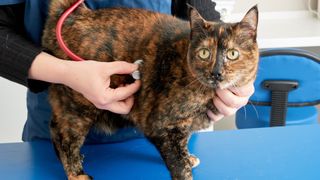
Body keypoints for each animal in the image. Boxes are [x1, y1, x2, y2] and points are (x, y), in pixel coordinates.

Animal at [42, 0, 258, 179]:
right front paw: (184, 167)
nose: (216, 73)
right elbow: (179, 167)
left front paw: (188, 157)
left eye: (232, 54)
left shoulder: (182, 127)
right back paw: (77, 174)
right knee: (63, 135)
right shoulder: (161, 126)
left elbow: (184, 142)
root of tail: (75, 15)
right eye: (204, 53)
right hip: (79, 106)